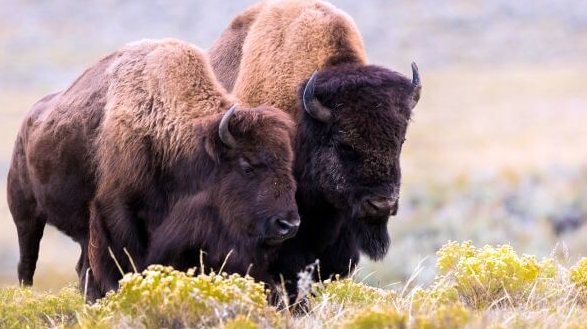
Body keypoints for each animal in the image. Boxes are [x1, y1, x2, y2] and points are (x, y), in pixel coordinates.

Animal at [8, 38, 304, 300]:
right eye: (247, 166)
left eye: (288, 165)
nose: (288, 225)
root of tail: (26, 125)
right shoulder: (114, 217)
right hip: (26, 216)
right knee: (28, 264)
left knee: (81, 268)